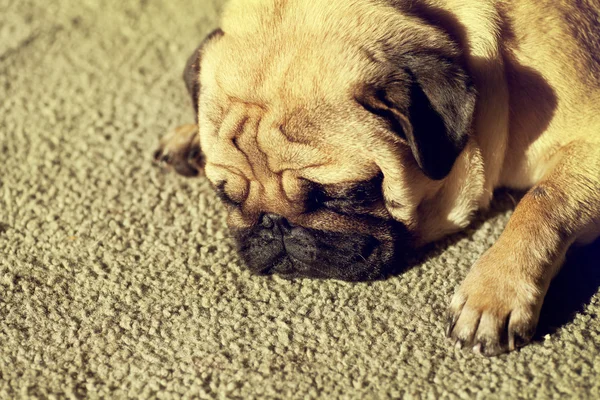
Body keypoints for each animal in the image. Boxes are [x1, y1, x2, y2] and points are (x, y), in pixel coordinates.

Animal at [155, 0, 600, 356]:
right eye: (227, 198)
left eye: (345, 195)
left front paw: (494, 292)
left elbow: (541, 202)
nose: (276, 226)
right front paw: (190, 134)